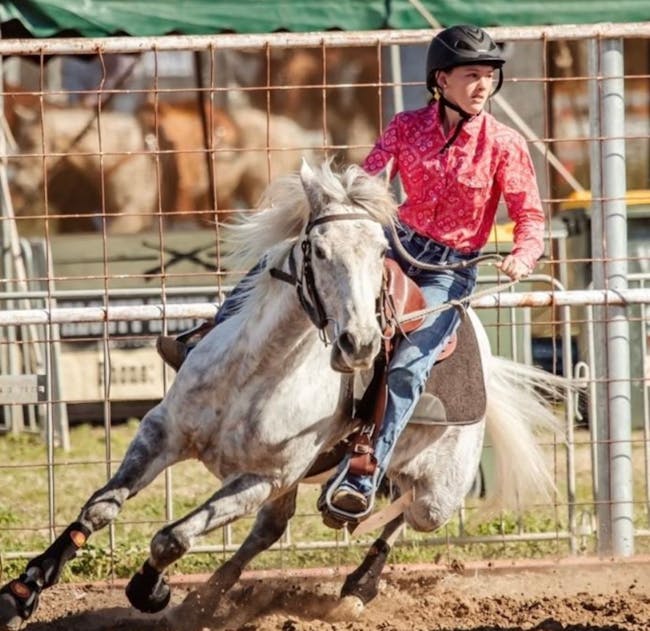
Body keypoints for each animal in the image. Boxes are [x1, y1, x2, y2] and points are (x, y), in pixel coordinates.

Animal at [0, 160, 560, 631]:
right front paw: (24, 591)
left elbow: (172, 536)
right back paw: (208, 597)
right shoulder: (162, 433)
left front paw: (149, 590)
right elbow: (102, 509)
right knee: (269, 531)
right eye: (318, 249)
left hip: (437, 496)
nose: (360, 344)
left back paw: (356, 579)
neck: (255, 371)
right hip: (300, 483)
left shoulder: (262, 477)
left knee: (401, 516)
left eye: (381, 252)